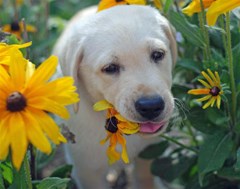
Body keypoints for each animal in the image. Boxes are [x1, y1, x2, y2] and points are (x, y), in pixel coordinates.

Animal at [54, 4, 176, 189]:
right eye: (110, 68)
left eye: (157, 54)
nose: (151, 106)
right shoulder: (86, 172)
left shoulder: (147, 154)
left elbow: (145, 178)